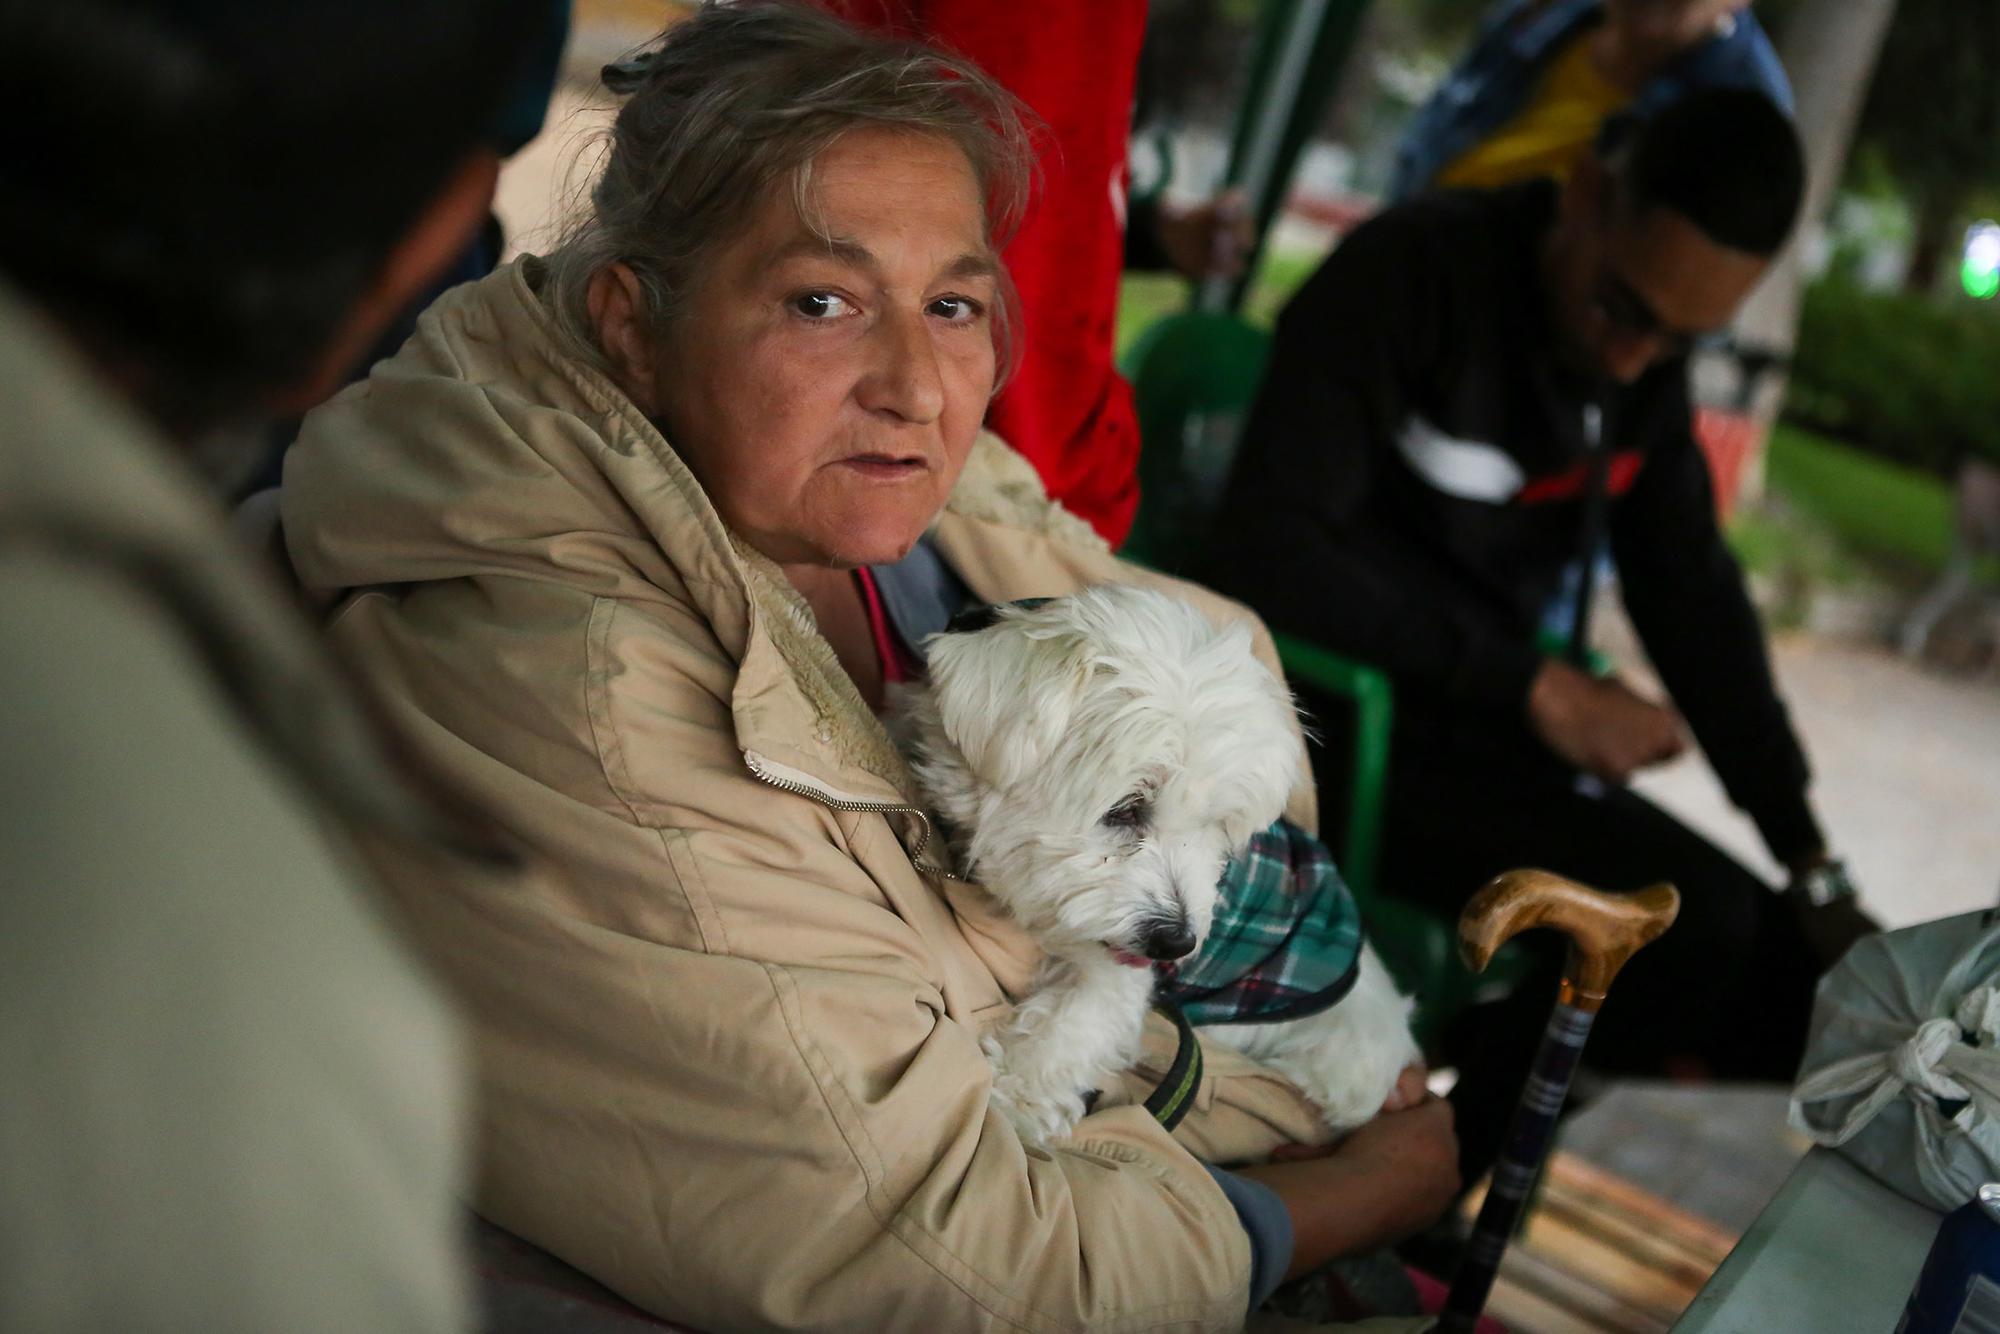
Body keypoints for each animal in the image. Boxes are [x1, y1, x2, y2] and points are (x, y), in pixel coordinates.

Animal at [892, 584, 1424, 1152]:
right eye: (1126, 809)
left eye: (1217, 827)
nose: (1177, 943)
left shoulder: (1116, 967)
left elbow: (1078, 1022)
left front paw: (1017, 1102)